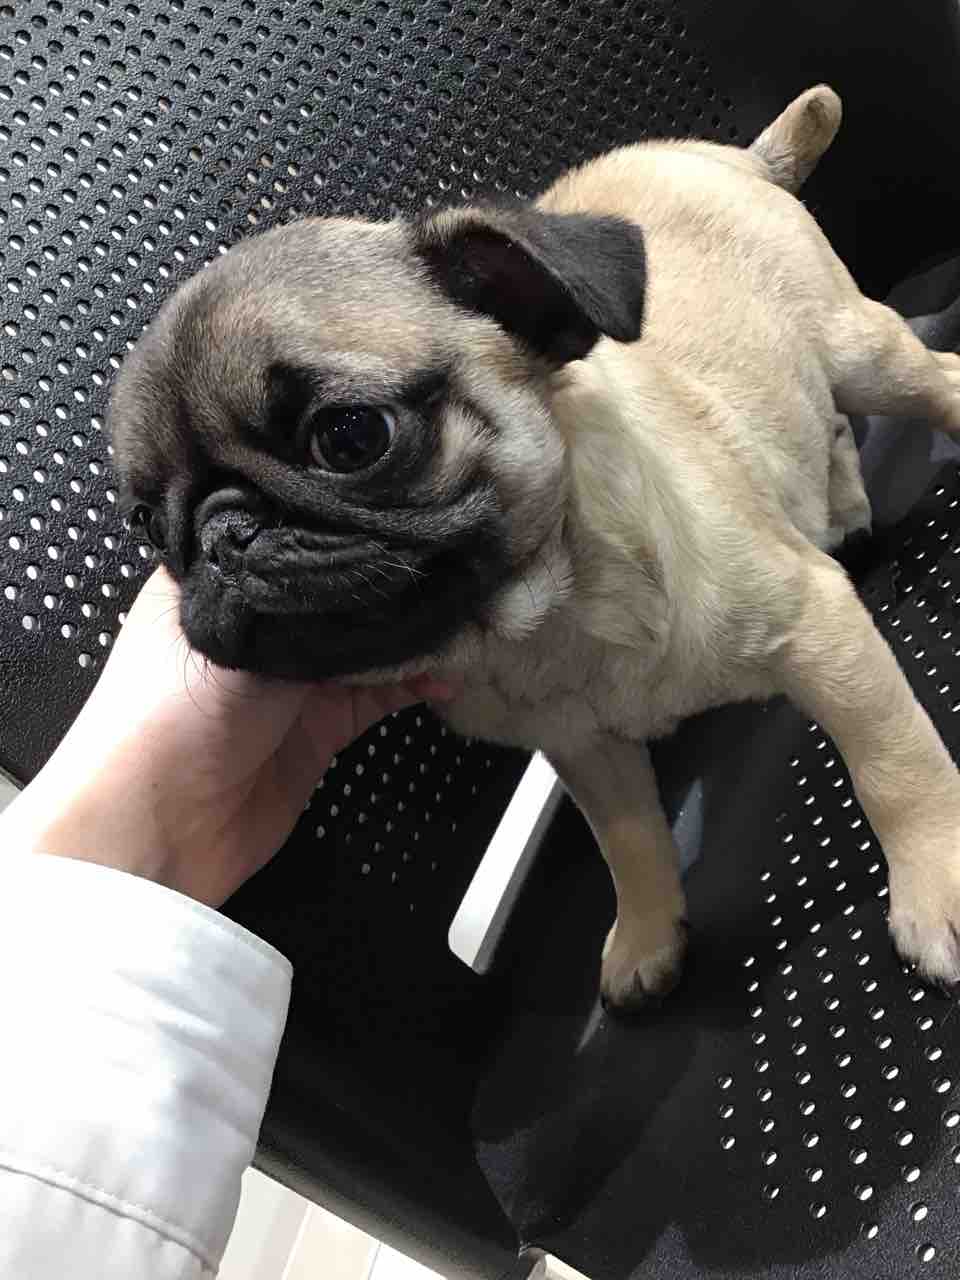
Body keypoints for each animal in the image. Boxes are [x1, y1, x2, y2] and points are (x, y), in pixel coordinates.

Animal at [109, 86, 960, 1011]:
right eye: (148, 522)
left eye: (350, 435)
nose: (223, 535)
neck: (540, 623)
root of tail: (730, 157)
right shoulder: (586, 750)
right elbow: (629, 842)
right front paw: (649, 933)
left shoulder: (819, 636)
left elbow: (896, 767)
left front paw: (937, 883)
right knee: (828, 431)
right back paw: (843, 514)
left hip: (861, 352)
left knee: (933, 383)